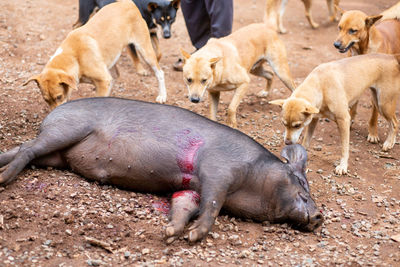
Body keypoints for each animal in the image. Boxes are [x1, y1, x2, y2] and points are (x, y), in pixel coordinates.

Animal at [0, 98, 322, 243]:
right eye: (301, 182)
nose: (319, 216)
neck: (252, 180)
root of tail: (51, 115)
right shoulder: (219, 169)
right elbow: (213, 204)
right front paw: (192, 236)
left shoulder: (190, 187)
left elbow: (185, 205)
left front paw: (170, 232)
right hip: (67, 130)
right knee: (27, 148)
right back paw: (4, 179)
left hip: (58, 155)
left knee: (23, 148)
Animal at [23, 1, 167, 110]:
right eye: (46, 100)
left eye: (59, 97)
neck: (74, 57)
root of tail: (128, 3)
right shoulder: (104, 80)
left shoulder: (103, 81)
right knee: (115, 76)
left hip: (145, 50)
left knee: (160, 72)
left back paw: (162, 96)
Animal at [270, 54, 398, 176]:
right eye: (283, 124)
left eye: (297, 125)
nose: (287, 142)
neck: (321, 86)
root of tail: (392, 57)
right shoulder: (313, 120)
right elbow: (306, 141)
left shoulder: (344, 120)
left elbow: (344, 148)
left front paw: (342, 166)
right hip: (377, 100)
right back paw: (391, 142)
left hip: (383, 104)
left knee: (395, 123)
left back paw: (388, 143)